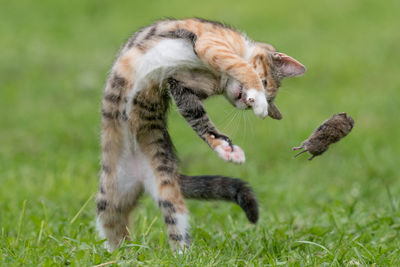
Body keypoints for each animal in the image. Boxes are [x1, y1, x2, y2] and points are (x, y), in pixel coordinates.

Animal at [97, 17, 306, 252]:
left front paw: (226, 149)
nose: (246, 102)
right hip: (110, 193)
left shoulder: (183, 84)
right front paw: (258, 99)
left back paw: (176, 254)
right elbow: (242, 66)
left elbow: (199, 120)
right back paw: (118, 254)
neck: (219, 75)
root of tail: (141, 179)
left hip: (163, 185)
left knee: (172, 219)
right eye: (265, 83)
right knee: (111, 225)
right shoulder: (209, 42)